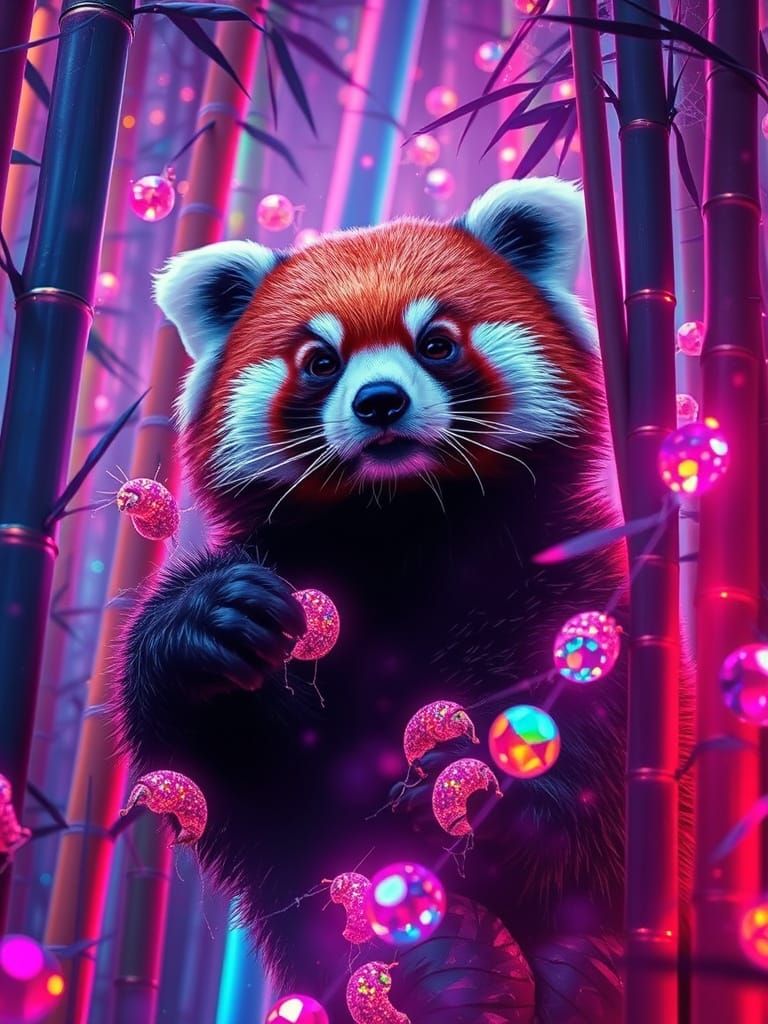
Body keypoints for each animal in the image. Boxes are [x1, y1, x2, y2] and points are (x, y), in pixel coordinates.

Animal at [118, 178, 629, 1022]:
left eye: (437, 343)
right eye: (320, 361)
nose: (380, 401)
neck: (404, 530)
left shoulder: (572, 584)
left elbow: (601, 753)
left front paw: (493, 798)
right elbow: (218, 767)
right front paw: (216, 618)